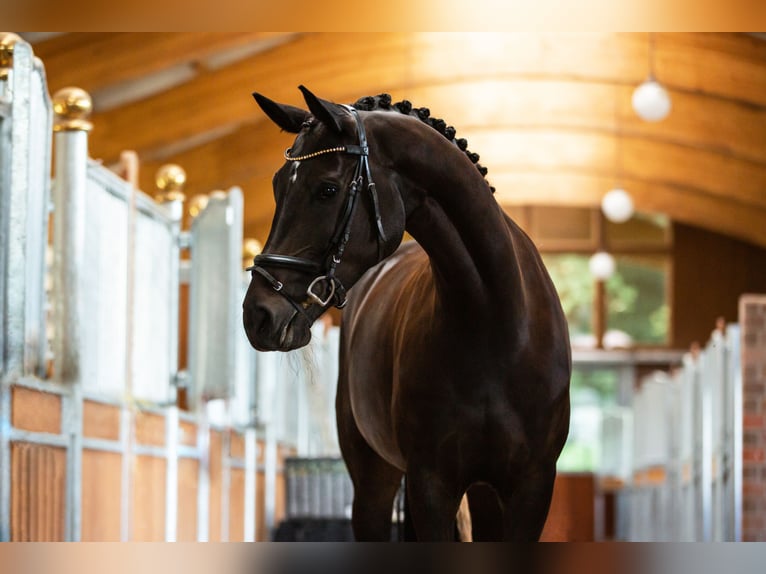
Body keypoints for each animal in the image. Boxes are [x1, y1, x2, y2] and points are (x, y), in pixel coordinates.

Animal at [243, 86, 572, 544]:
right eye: (276, 186)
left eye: (327, 189)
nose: (257, 315)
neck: (493, 321)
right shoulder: (430, 484)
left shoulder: (531, 486)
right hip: (374, 482)